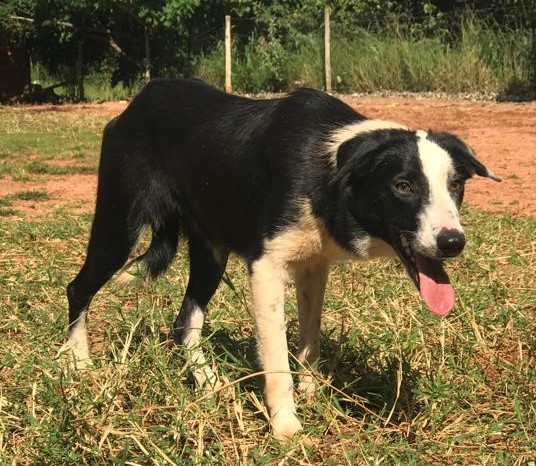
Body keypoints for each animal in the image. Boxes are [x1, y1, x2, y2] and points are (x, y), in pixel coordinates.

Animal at [64, 78, 500, 440]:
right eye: (403, 186)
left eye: (455, 185)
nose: (453, 242)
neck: (328, 170)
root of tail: (135, 104)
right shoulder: (266, 268)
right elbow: (277, 358)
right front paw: (286, 425)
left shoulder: (314, 267)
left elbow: (309, 340)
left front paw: (310, 392)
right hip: (119, 227)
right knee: (77, 288)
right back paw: (79, 363)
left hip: (211, 252)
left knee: (184, 322)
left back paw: (210, 384)